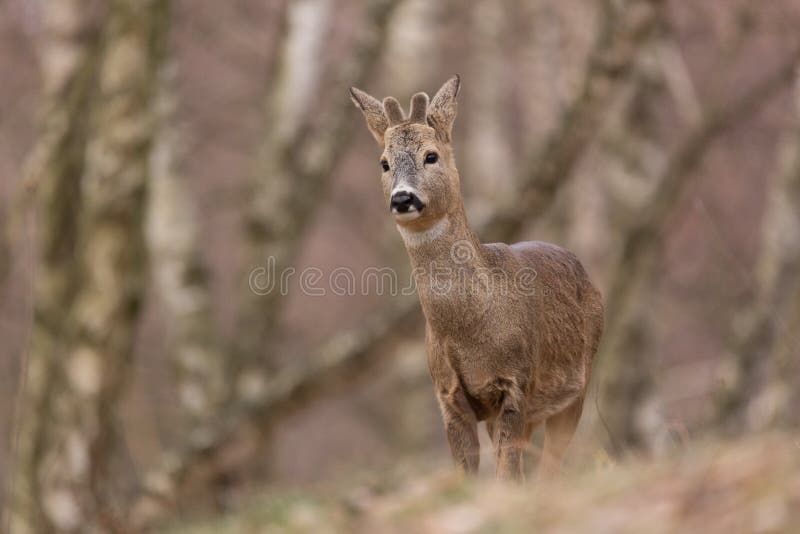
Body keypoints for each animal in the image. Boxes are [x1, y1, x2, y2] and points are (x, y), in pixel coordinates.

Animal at [350, 74, 608, 482]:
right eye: (384, 163)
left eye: (431, 155)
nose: (403, 199)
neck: (471, 329)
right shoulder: (448, 394)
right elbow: (469, 474)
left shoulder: (515, 384)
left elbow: (507, 472)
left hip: (577, 385)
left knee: (552, 462)